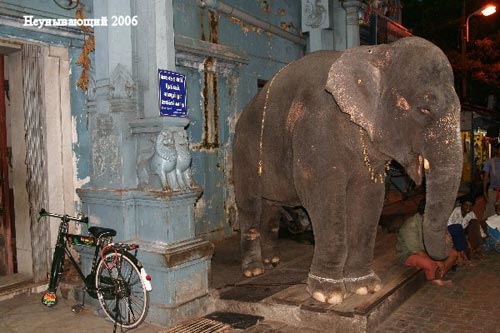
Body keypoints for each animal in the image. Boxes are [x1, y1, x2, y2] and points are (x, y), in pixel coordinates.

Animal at [232, 36, 462, 304]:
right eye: (425, 108)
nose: (449, 239)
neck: (376, 52)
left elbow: (369, 198)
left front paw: (366, 287)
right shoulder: (316, 130)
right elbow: (324, 198)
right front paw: (327, 294)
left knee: (271, 207)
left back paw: (273, 260)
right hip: (242, 152)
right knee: (249, 204)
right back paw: (254, 270)